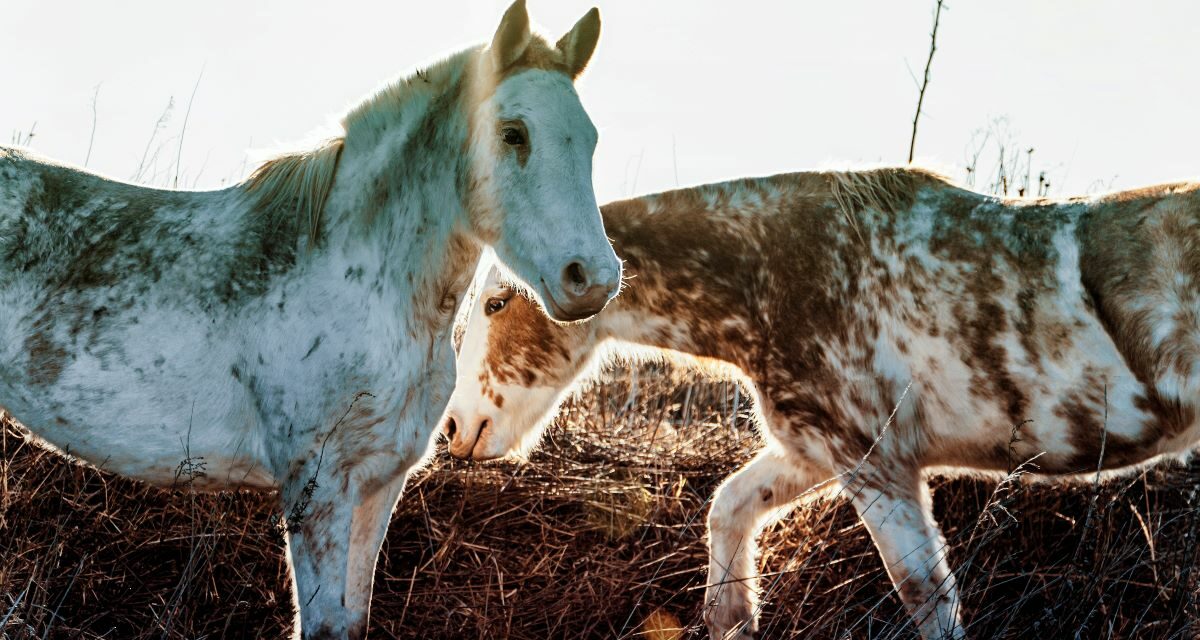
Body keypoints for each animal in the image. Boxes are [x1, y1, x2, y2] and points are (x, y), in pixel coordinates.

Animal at [0, 1, 621, 636]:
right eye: (513, 132)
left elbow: (352, 617)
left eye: (592, 140)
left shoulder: (379, 483)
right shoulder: (317, 487)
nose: (592, 278)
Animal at [442, 168, 1200, 639]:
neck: (771, 274)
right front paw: (733, 618)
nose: (456, 427)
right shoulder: (814, 448)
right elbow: (729, 507)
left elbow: (925, 596)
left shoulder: (875, 463)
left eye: (496, 302)